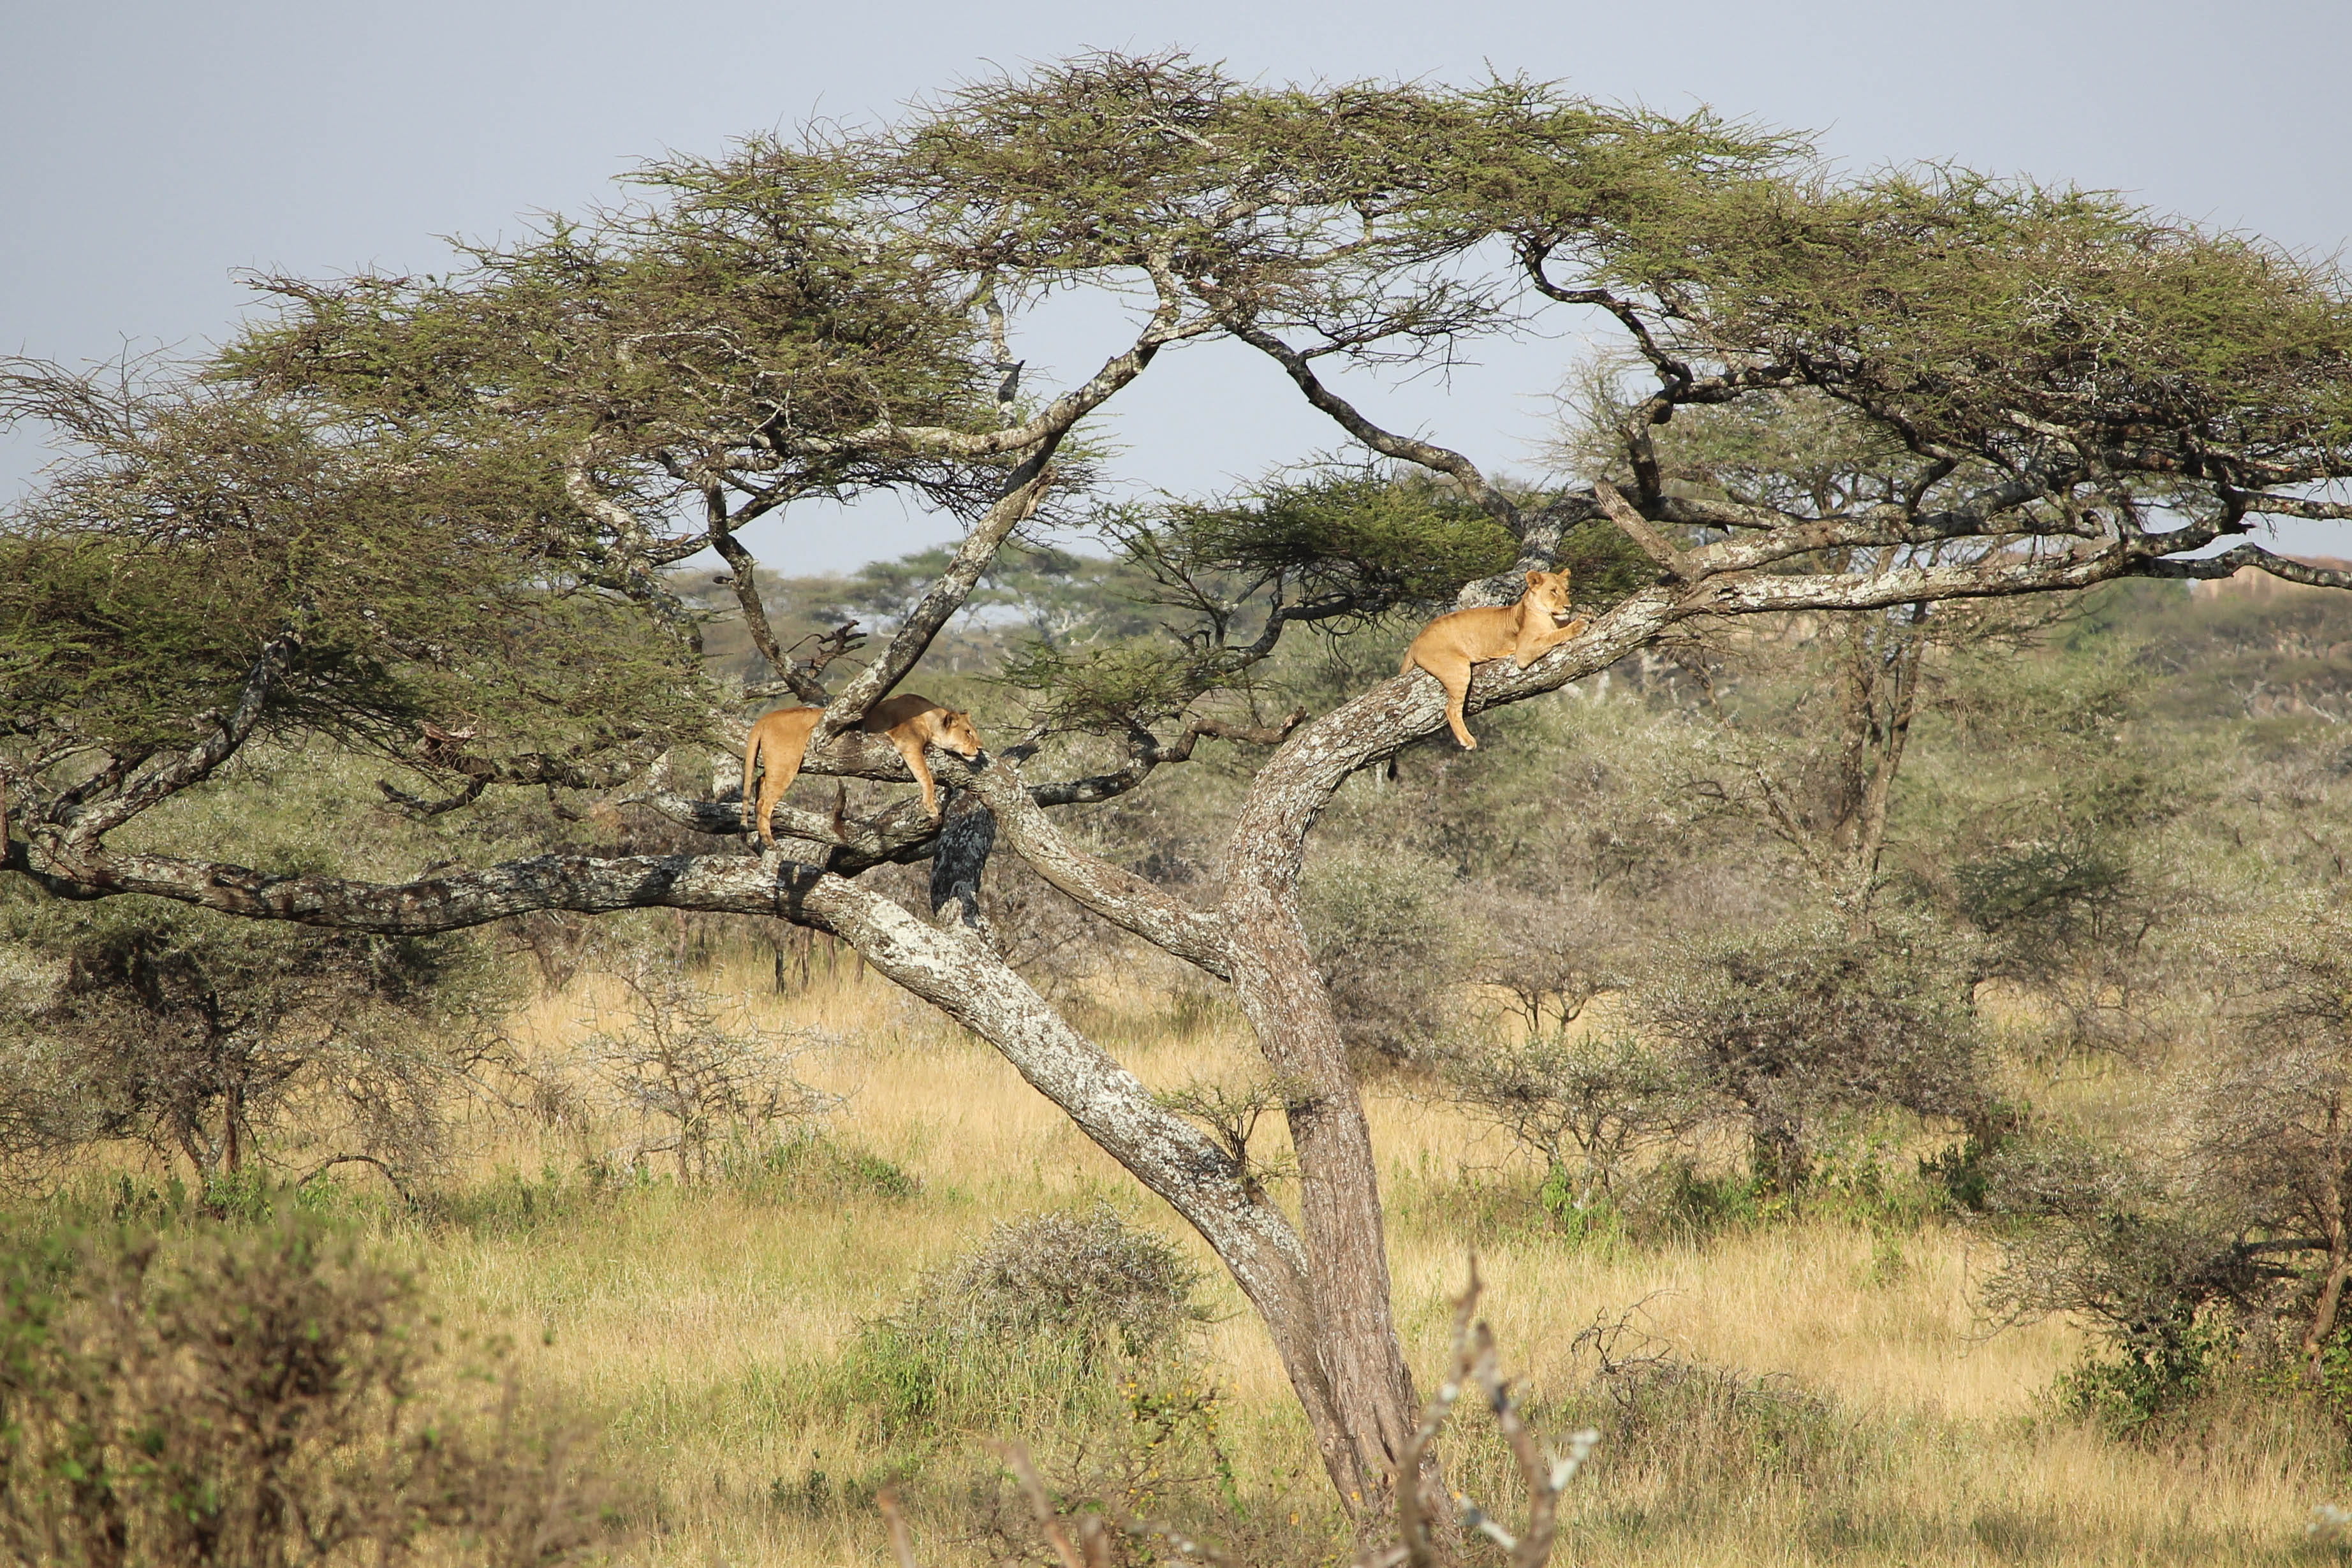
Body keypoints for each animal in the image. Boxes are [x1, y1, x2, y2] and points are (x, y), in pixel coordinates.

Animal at [740, 693, 984, 848]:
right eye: (968, 732)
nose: (980, 748)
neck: (930, 718)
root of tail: (765, 718)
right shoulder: (909, 743)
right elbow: (926, 776)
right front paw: (931, 807)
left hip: (777, 763)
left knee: (760, 781)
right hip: (786, 763)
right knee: (765, 802)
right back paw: (768, 840)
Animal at [1400, 569, 1588, 749]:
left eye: (1567, 591)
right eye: (1553, 591)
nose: (1568, 607)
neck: (1551, 618)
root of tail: (1416, 640)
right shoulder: (1524, 650)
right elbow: (1554, 636)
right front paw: (1579, 625)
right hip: (1458, 669)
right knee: (1451, 709)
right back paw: (1467, 740)